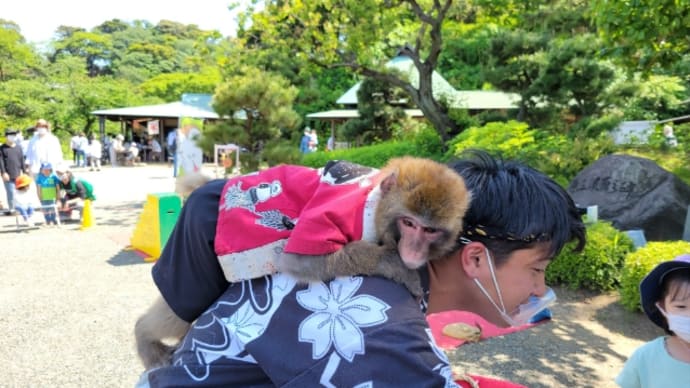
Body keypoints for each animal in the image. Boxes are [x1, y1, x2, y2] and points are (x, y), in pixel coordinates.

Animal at [134, 156, 470, 368]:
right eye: (409, 223)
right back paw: (145, 337)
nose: (414, 251)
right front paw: (398, 267)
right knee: (182, 306)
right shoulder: (337, 210)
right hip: (192, 237)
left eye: (430, 230)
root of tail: (212, 184)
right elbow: (300, 261)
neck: (374, 204)